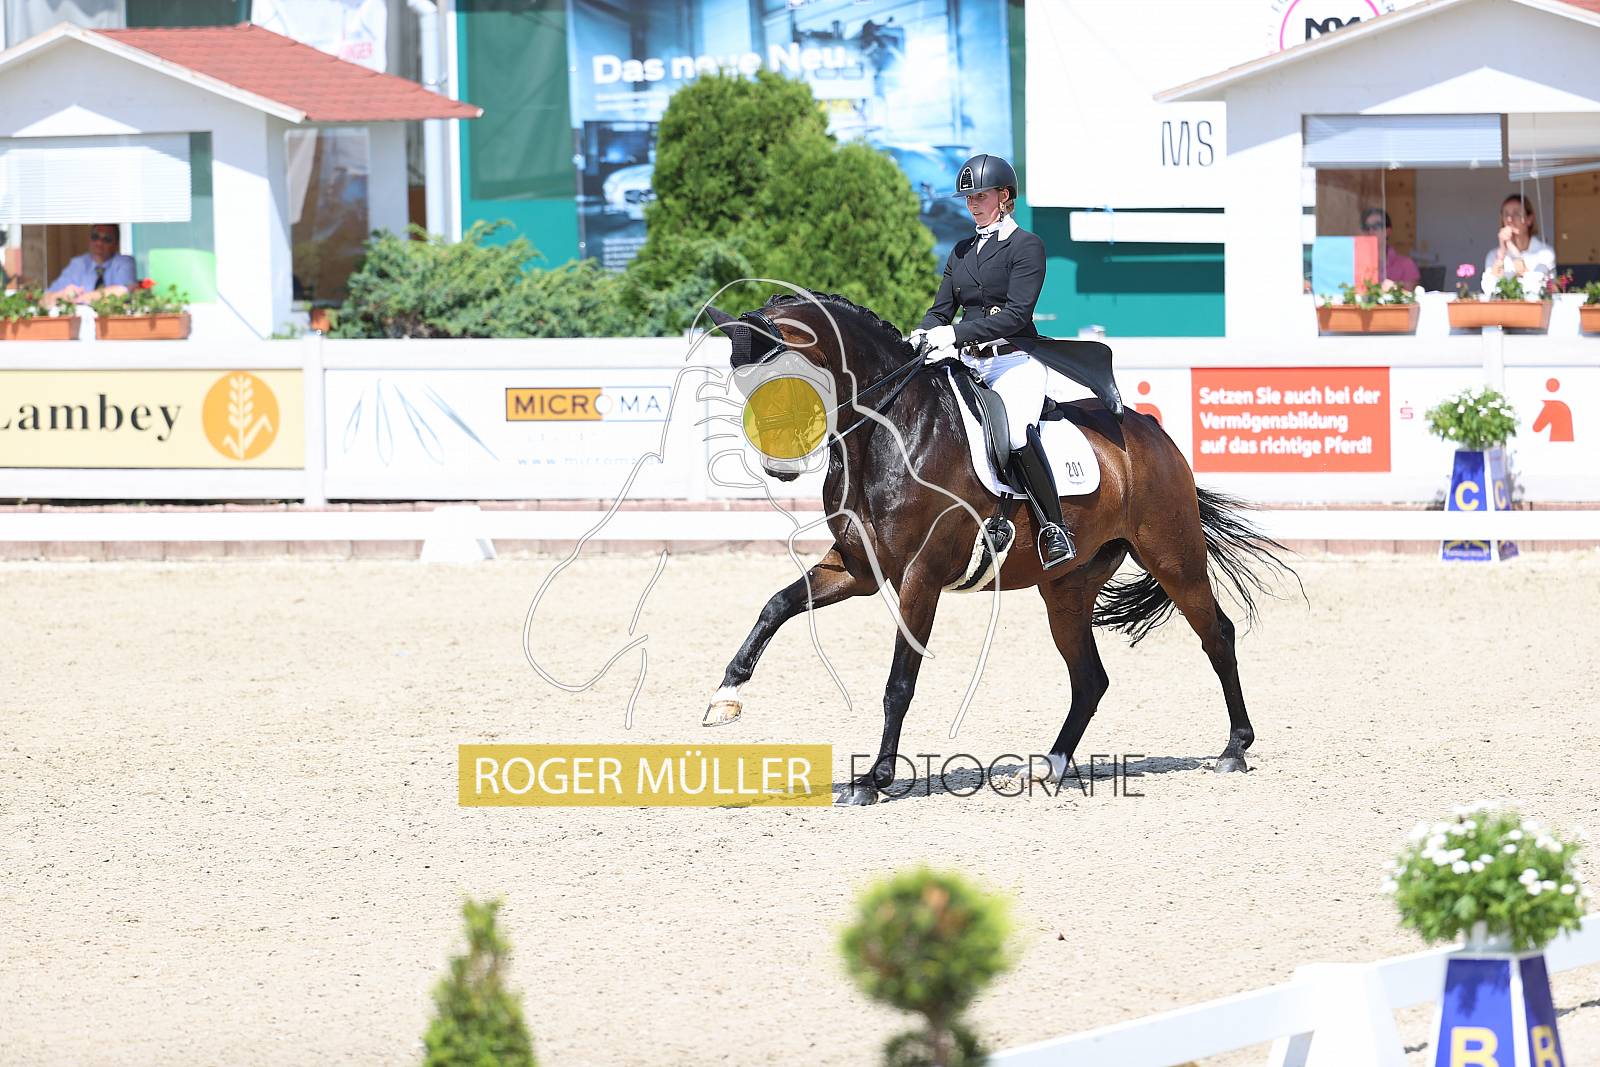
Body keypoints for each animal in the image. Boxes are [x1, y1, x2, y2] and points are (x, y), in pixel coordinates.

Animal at [701, 291, 1294, 806]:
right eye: (741, 382)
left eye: (783, 379)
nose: (778, 468)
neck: (890, 433)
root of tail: (1151, 432)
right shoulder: (858, 569)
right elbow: (777, 604)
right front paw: (726, 696)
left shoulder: (920, 576)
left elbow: (899, 682)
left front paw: (873, 779)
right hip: (1066, 589)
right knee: (1090, 678)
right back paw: (1050, 766)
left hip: (1173, 556)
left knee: (1217, 636)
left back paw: (1234, 749)